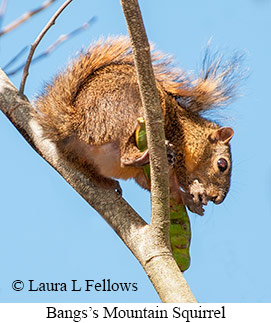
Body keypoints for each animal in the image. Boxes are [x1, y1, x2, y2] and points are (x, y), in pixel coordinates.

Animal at [33, 36, 239, 216]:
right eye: (222, 164)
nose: (217, 199)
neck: (192, 132)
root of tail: (76, 123)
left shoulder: (144, 176)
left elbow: (152, 185)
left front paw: (189, 201)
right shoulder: (179, 139)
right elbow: (182, 174)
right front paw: (194, 189)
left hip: (81, 159)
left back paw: (110, 183)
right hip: (129, 111)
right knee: (125, 154)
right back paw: (141, 156)